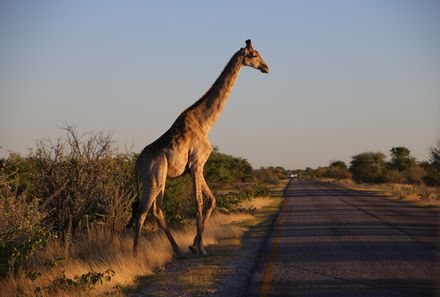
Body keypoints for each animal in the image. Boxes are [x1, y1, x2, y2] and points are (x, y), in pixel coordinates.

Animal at [131, 39, 268, 256]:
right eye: (253, 54)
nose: (266, 67)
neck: (206, 122)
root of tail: (137, 164)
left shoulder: (197, 167)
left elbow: (211, 200)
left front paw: (194, 245)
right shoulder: (196, 164)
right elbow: (199, 202)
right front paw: (200, 248)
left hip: (159, 179)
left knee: (157, 210)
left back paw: (178, 251)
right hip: (153, 177)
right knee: (142, 211)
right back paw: (136, 255)